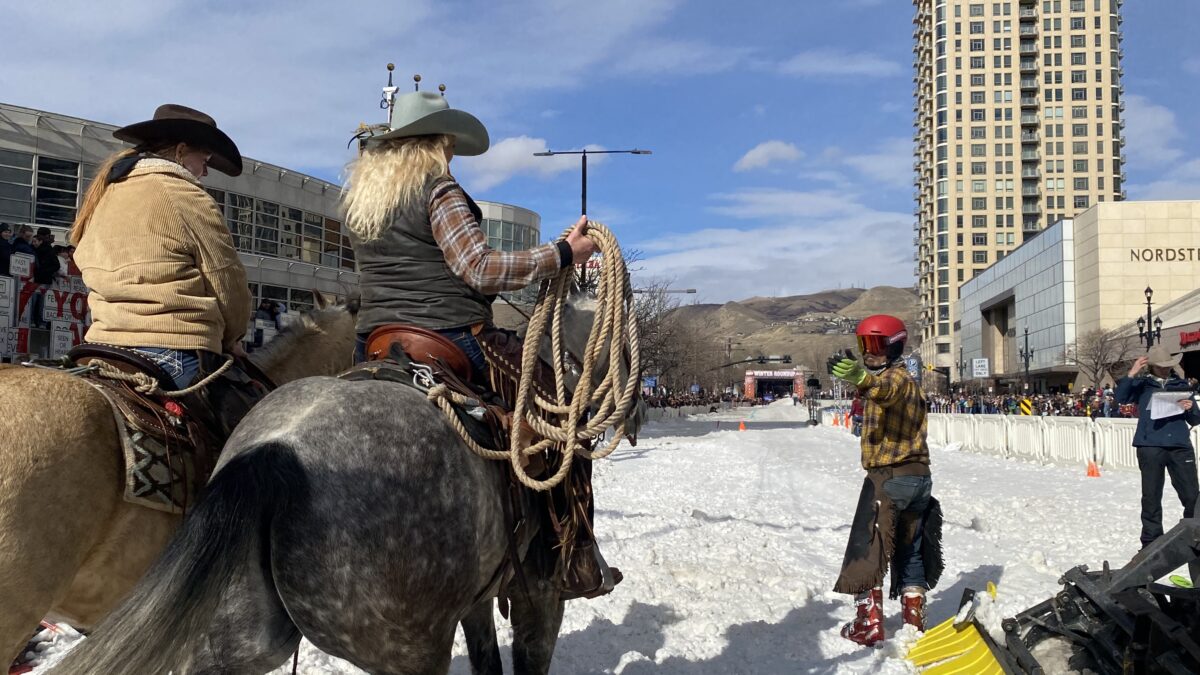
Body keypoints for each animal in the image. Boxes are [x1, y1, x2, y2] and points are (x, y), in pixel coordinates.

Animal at [54, 294, 648, 672]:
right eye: (625, 347)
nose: (637, 412)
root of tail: (274, 454)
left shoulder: (476, 599)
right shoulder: (540, 596)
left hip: (239, 641)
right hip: (409, 651)